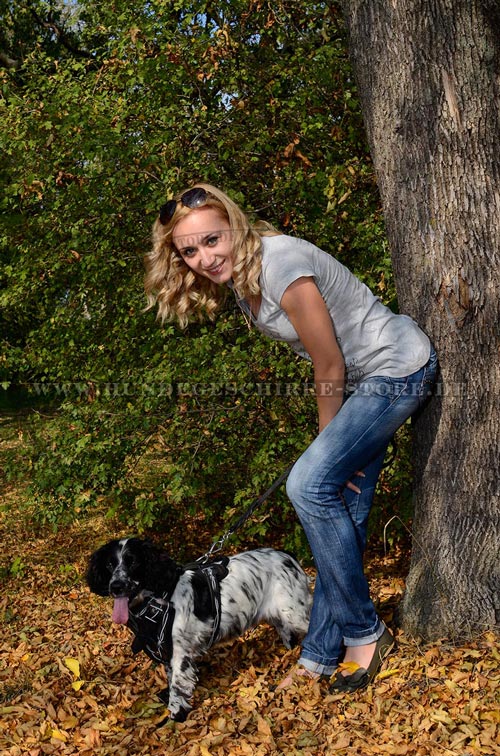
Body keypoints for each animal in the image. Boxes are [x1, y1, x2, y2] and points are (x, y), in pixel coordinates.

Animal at [87, 536, 312, 720]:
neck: (158, 599)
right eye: (109, 563)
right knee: (286, 632)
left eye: (132, 561)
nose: (116, 587)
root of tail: (287, 555)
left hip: (295, 612)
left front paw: (176, 714)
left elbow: (178, 685)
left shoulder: (180, 652)